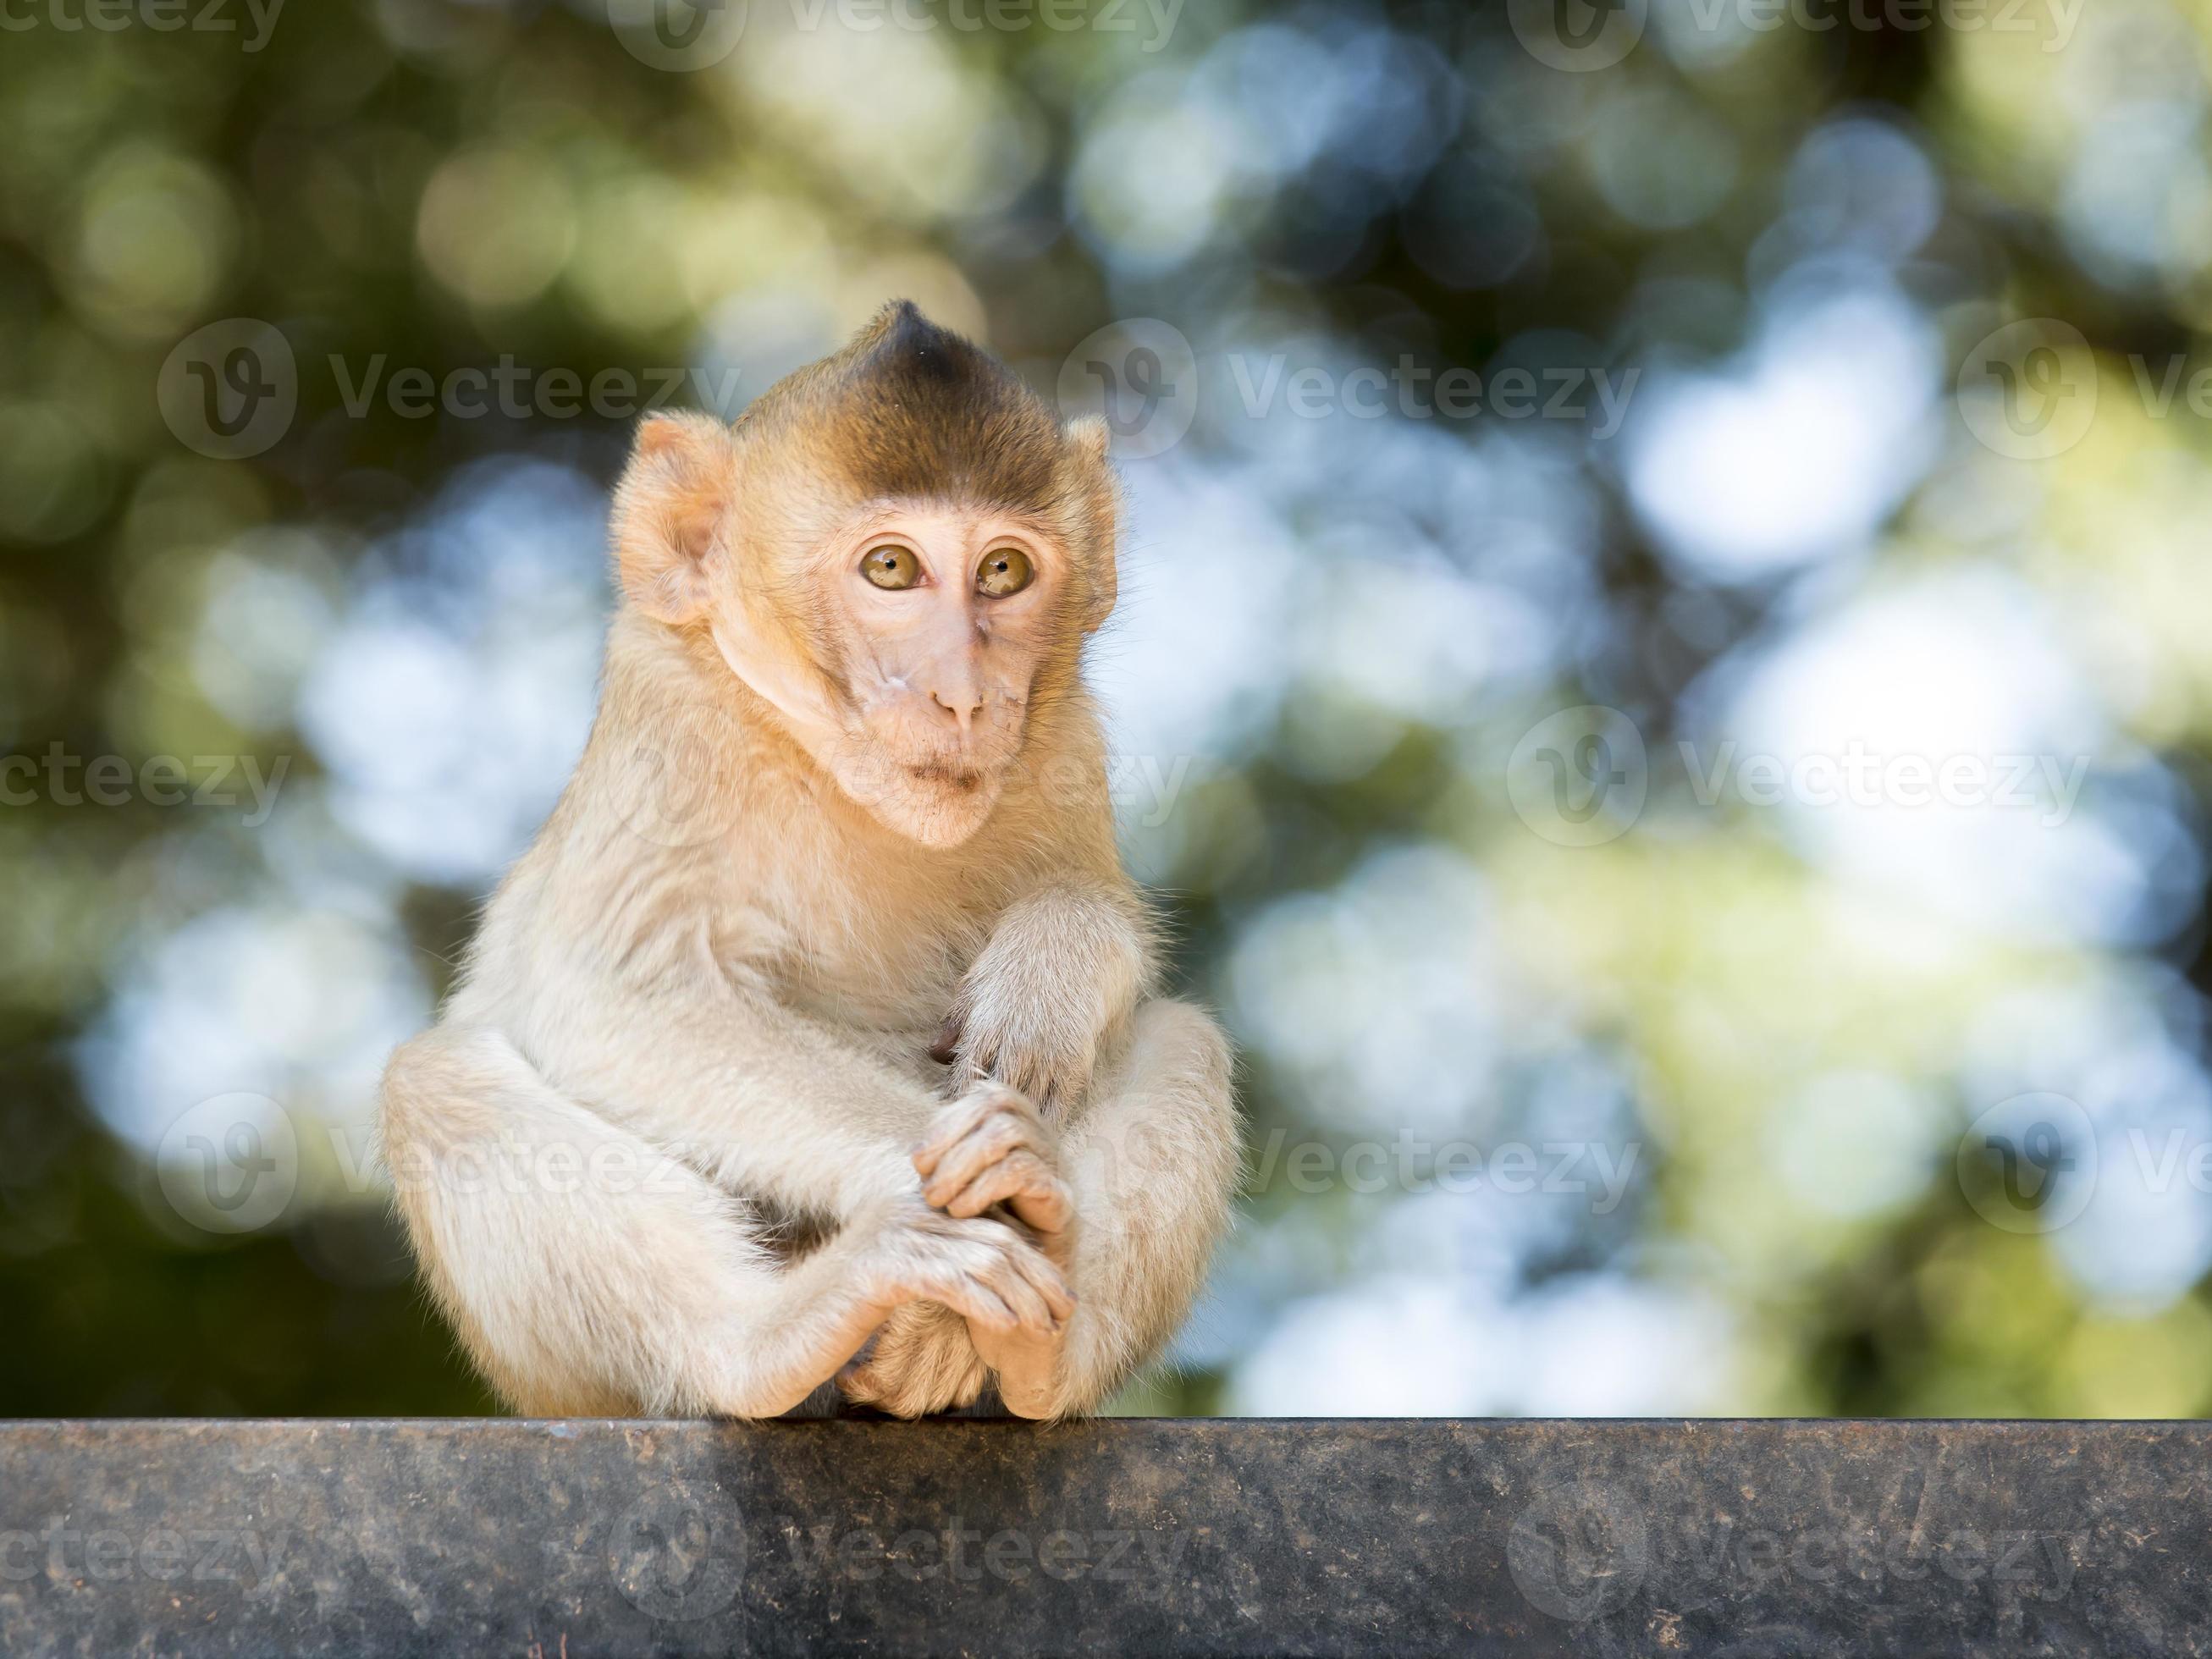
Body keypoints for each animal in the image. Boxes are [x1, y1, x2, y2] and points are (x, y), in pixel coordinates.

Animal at [380, 305, 1247, 1424]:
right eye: (892, 570)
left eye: (1003, 573)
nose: (967, 694)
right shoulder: (668, 720)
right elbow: (615, 994)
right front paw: (991, 1176)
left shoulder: (1063, 739)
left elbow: (1092, 900)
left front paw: (1047, 978)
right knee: (434, 1082)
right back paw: (779, 1334)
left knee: (1185, 1040)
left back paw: (1039, 1357)